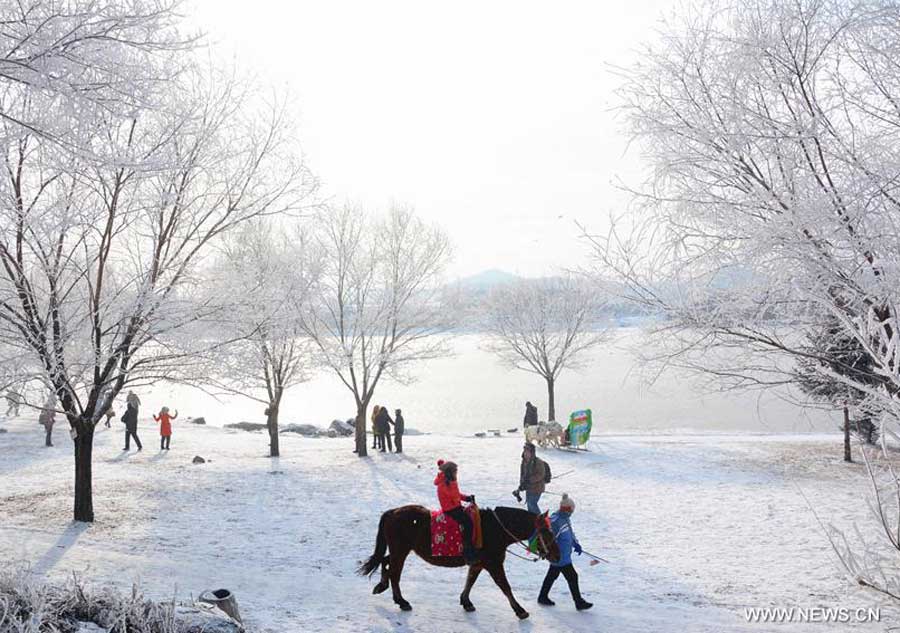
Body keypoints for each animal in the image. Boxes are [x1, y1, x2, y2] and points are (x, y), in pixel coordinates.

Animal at [356, 504, 556, 616]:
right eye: (546, 532)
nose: (558, 556)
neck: (496, 528)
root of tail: (393, 512)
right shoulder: (493, 564)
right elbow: (505, 586)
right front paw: (520, 610)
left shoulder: (479, 563)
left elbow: (470, 581)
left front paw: (466, 601)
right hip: (401, 550)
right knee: (394, 573)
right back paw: (401, 600)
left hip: (400, 550)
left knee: (386, 562)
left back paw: (382, 586)